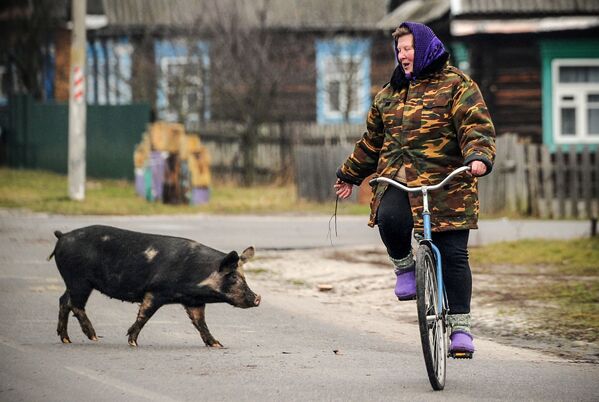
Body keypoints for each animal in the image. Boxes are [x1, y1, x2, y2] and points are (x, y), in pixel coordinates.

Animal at [47, 225, 260, 348]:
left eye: (244, 276)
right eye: (233, 276)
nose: (258, 298)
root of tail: (62, 236)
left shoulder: (193, 302)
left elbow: (201, 323)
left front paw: (217, 344)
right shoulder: (156, 291)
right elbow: (145, 315)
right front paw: (133, 342)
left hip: (74, 281)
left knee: (63, 300)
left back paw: (66, 339)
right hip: (79, 280)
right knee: (75, 305)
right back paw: (94, 338)